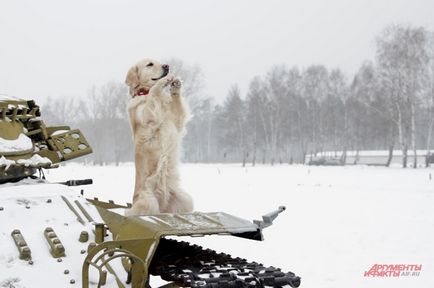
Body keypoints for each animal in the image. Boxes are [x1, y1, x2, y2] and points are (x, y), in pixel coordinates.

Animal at [124, 58, 192, 216]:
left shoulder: (177, 120)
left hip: (185, 199)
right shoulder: (147, 116)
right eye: (150, 64)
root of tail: (162, 206)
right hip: (148, 202)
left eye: (159, 61)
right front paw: (162, 82)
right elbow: (153, 94)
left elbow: (178, 107)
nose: (167, 66)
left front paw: (176, 85)